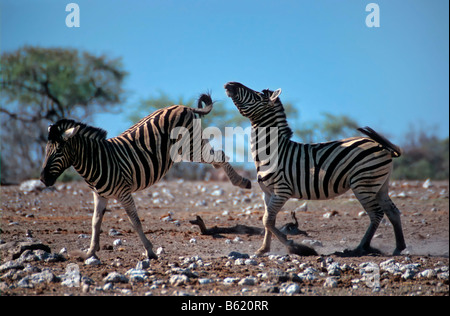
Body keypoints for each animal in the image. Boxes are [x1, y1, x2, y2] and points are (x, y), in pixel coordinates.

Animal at [40, 94, 251, 260]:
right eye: (45, 150)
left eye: (58, 151)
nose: (42, 179)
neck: (98, 161)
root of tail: (182, 106)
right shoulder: (99, 195)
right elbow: (95, 222)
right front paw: (90, 252)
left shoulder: (124, 192)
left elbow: (135, 221)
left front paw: (150, 251)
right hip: (190, 148)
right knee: (216, 159)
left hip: (191, 145)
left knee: (220, 156)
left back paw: (242, 182)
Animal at [227, 81, 406, 256]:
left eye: (257, 96)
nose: (229, 84)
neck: (272, 152)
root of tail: (381, 146)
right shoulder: (267, 193)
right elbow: (268, 221)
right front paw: (263, 249)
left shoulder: (282, 191)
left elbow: (267, 220)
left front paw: (294, 246)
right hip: (379, 185)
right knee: (392, 212)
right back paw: (399, 247)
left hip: (363, 183)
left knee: (376, 214)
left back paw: (361, 248)